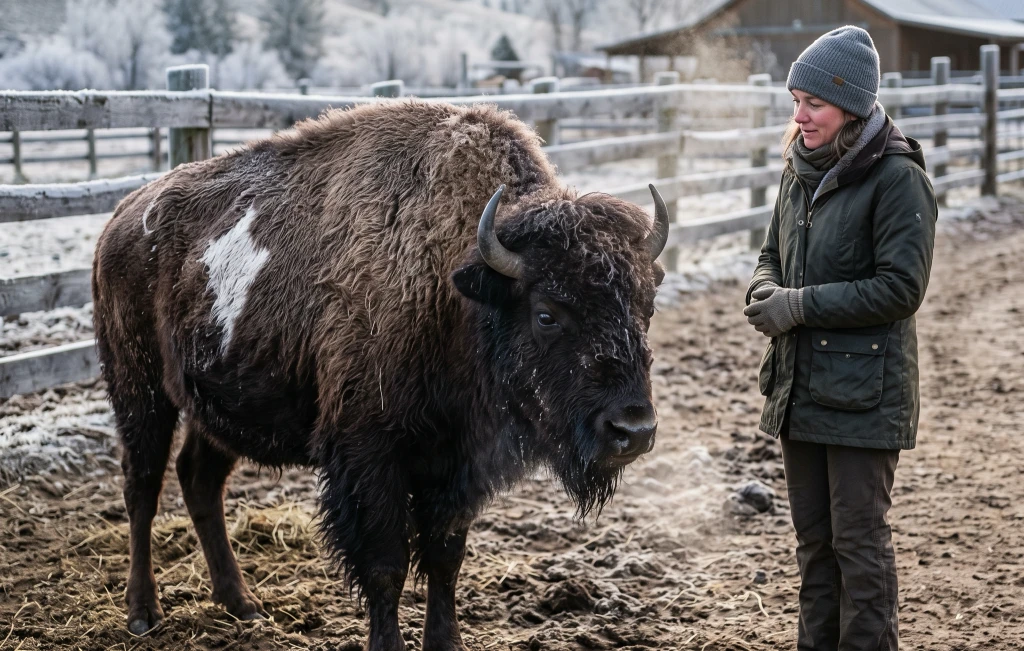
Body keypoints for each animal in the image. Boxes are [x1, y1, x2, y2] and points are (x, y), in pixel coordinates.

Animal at [92, 100, 668, 650]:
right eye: (547, 313)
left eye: (646, 306)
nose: (633, 430)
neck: (455, 287)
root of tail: (120, 218)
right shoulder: (369, 455)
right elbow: (384, 565)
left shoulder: (454, 463)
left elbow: (445, 557)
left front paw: (446, 643)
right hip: (139, 390)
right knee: (142, 487)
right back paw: (143, 613)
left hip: (216, 404)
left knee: (199, 479)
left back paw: (242, 604)